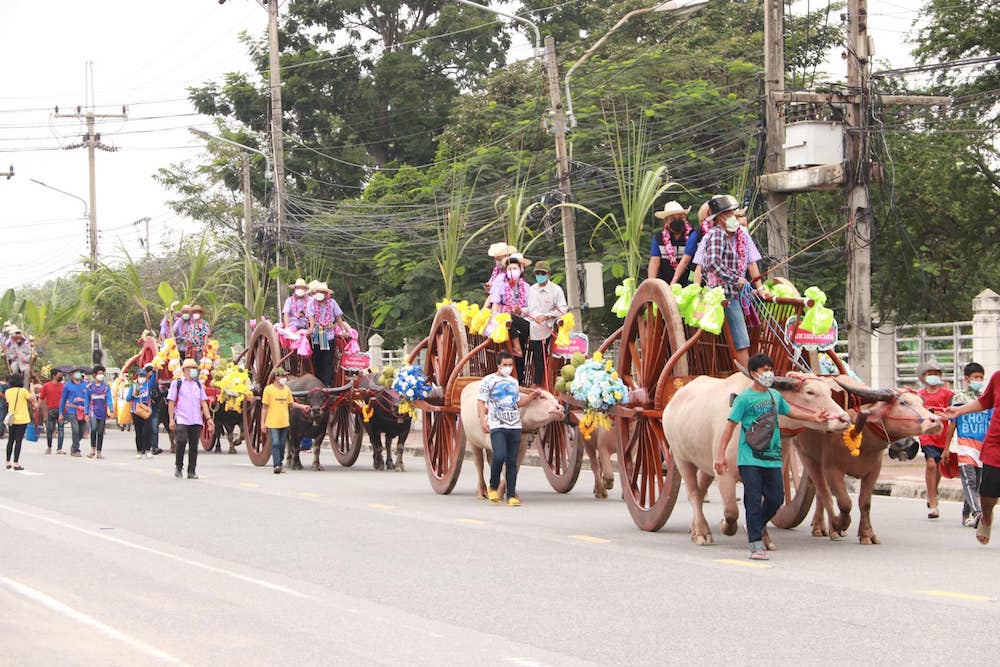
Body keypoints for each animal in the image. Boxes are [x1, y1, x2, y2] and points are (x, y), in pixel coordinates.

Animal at [664, 374, 852, 552]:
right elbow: (731, 511)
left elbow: (762, 507)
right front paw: (725, 525)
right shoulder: (725, 474)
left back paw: (695, 529)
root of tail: (674, 400)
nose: (844, 419)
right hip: (681, 458)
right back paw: (702, 534)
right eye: (810, 392)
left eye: (830, 393)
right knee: (694, 494)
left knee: (700, 490)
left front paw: (764, 539)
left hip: (706, 464)